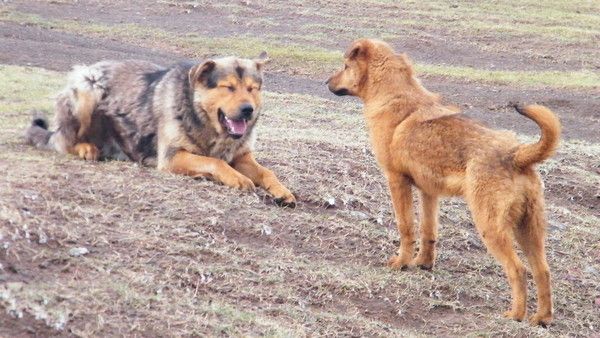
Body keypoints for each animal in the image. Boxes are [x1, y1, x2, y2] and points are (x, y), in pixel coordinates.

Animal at [26, 53, 298, 206]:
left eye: (252, 89)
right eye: (228, 87)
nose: (248, 110)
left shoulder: (242, 156)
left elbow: (267, 172)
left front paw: (282, 190)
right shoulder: (171, 157)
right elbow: (215, 162)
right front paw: (237, 178)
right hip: (88, 88)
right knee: (62, 140)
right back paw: (85, 148)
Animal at [326, 38, 560, 326]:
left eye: (345, 66)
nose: (327, 82)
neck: (394, 97)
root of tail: (516, 154)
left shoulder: (397, 181)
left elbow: (406, 228)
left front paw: (401, 263)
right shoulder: (429, 192)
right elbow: (428, 231)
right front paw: (423, 263)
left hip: (492, 227)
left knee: (518, 269)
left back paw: (514, 315)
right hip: (529, 229)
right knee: (543, 270)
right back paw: (541, 318)